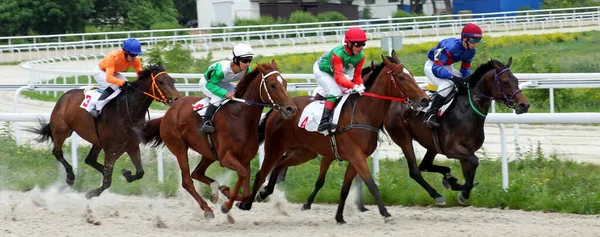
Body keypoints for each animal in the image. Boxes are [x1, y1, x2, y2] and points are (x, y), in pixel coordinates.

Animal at [28, 63, 182, 198]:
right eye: (161, 82)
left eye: (172, 80)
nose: (177, 99)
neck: (127, 112)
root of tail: (64, 97)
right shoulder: (112, 150)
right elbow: (107, 182)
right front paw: (92, 193)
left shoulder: (131, 146)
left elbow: (140, 173)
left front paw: (126, 174)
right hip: (62, 130)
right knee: (57, 152)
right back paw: (70, 176)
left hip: (97, 141)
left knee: (90, 160)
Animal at [141, 60, 300, 218]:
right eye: (272, 85)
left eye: (285, 83)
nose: (291, 108)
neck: (241, 117)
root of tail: (169, 111)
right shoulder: (225, 158)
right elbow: (242, 174)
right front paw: (227, 205)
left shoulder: (245, 159)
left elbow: (247, 190)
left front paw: (227, 193)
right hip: (179, 148)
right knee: (187, 180)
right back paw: (207, 209)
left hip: (209, 153)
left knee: (197, 173)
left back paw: (215, 191)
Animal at [237, 51, 428, 224]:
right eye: (401, 78)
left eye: (411, 73)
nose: (425, 99)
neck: (362, 112)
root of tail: (278, 109)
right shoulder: (355, 156)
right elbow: (371, 184)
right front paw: (386, 213)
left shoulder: (353, 158)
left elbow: (344, 189)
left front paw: (339, 216)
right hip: (275, 146)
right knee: (262, 172)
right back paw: (247, 202)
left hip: (304, 152)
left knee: (279, 165)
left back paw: (265, 192)